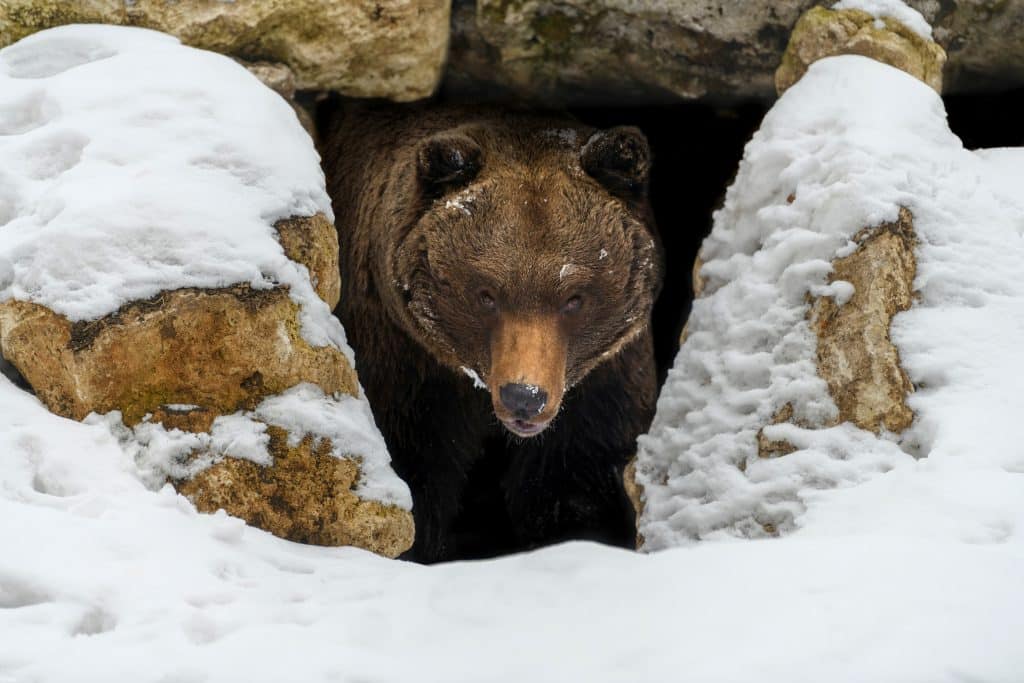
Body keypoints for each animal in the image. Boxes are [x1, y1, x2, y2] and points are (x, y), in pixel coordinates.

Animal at [323, 101, 667, 561]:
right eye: (486, 294)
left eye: (574, 298)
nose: (525, 396)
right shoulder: (407, 366)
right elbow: (415, 469)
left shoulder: (601, 384)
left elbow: (575, 484)